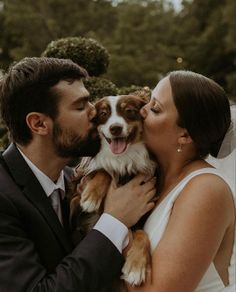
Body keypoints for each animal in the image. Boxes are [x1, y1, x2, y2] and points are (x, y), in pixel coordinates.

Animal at [70, 95, 157, 290]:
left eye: (129, 111)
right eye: (103, 114)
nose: (115, 128)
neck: (122, 160)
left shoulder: (142, 215)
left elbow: (143, 235)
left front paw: (136, 267)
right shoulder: (80, 201)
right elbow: (104, 171)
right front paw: (91, 196)